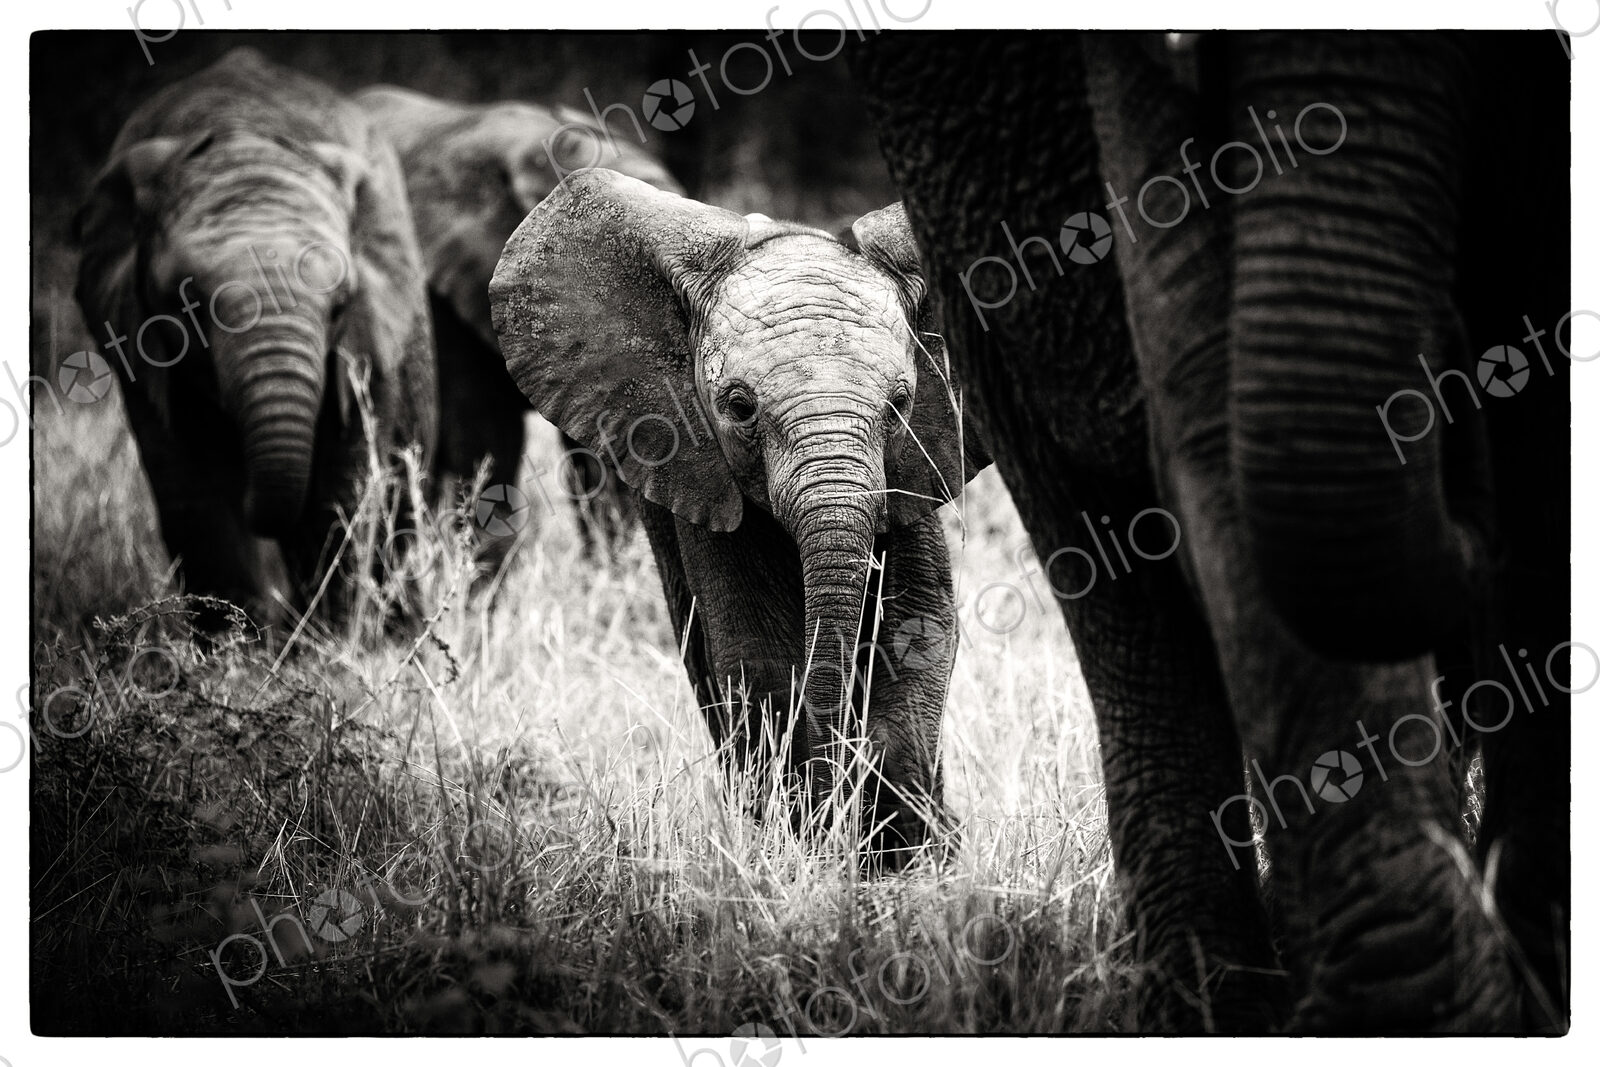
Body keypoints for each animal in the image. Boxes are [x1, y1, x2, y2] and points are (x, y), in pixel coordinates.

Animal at [73, 48, 437, 627]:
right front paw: (235, 646)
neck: (244, 134)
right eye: (188, 304)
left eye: (340, 307)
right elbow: (193, 498)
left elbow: (340, 488)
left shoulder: (365, 342)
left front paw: (329, 642)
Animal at [489, 169, 989, 861]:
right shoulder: (699, 473)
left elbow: (917, 631)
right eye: (738, 405)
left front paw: (905, 862)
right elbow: (756, 658)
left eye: (900, 402)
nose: (834, 824)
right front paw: (807, 849)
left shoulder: (912, 471)